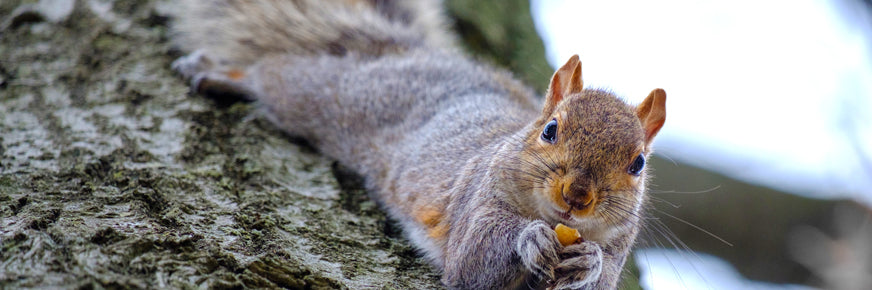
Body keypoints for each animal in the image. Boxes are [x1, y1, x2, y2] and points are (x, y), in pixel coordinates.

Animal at [172, 1, 668, 288]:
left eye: (638, 164)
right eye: (549, 130)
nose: (577, 196)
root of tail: (404, 54)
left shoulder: (619, 247)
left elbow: (602, 273)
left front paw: (588, 261)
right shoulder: (477, 199)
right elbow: (472, 259)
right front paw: (529, 238)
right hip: (328, 96)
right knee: (277, 73)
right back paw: (222, 74)